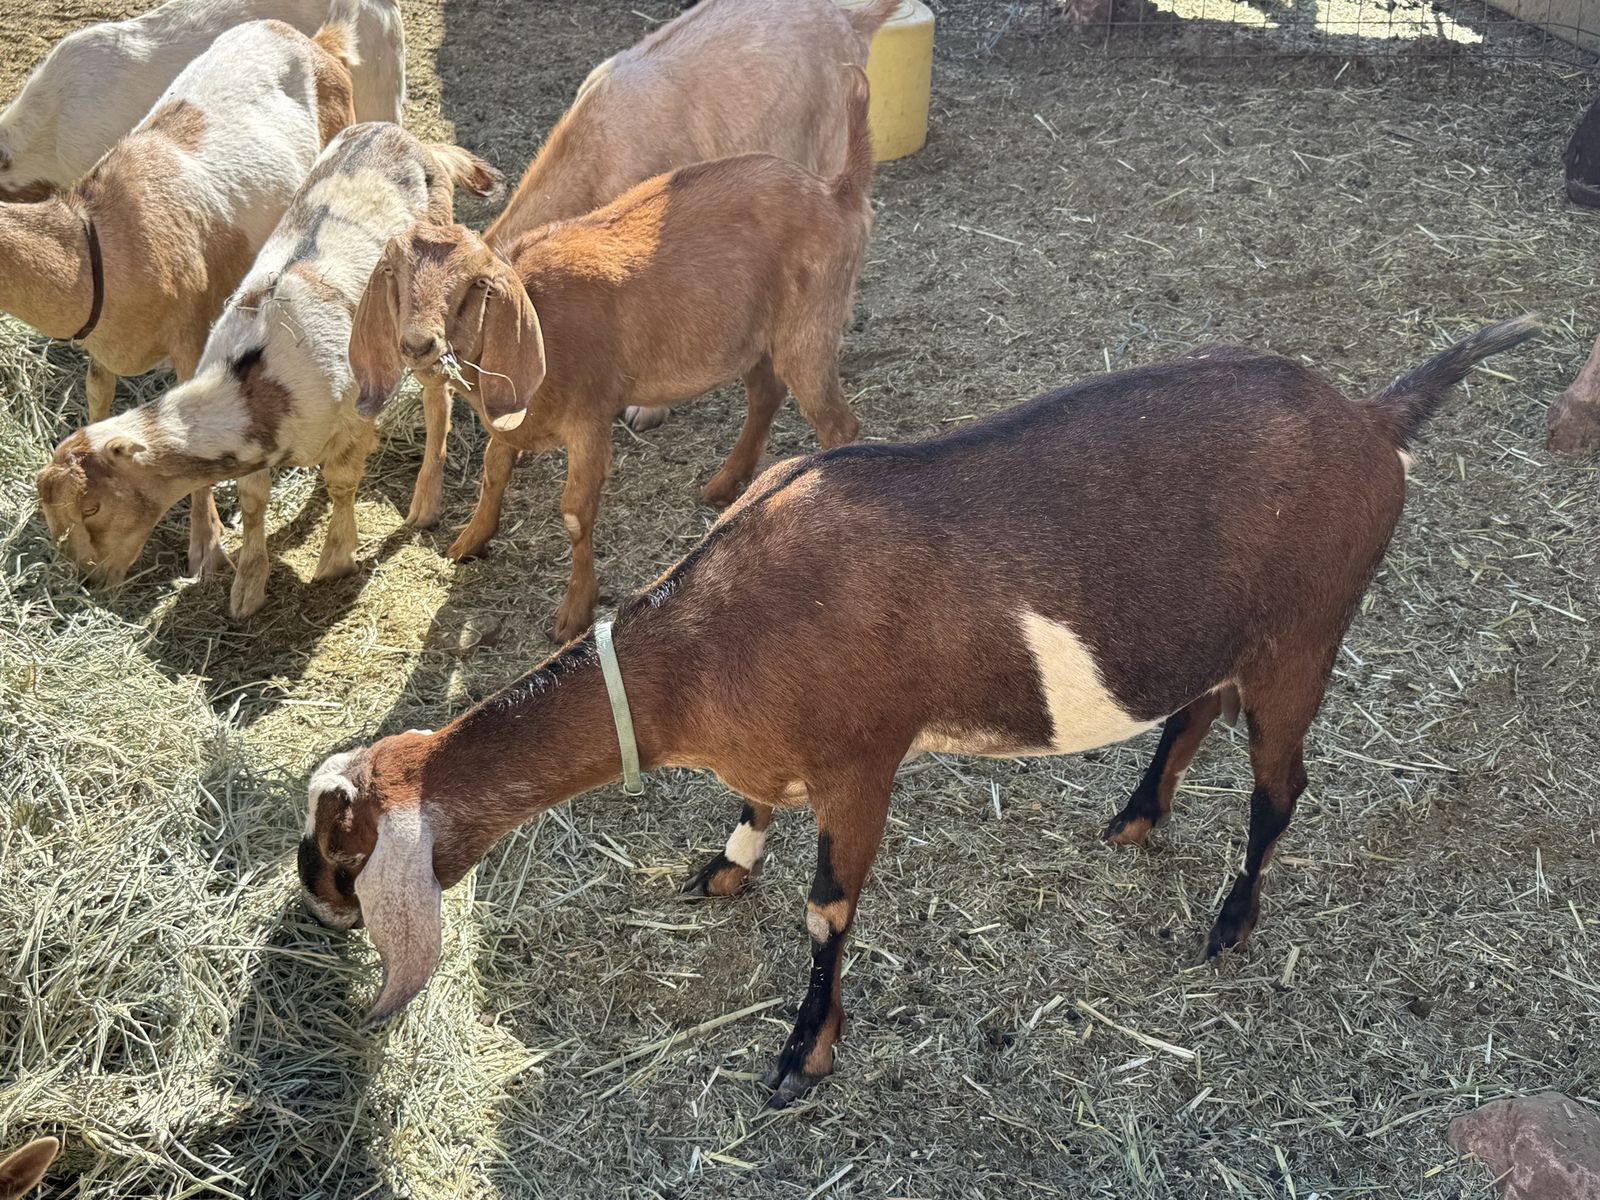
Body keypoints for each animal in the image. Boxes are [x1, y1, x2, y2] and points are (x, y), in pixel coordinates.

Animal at [9, 18, 357, 578]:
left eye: (92, 509)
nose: (87, 578)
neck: (94, 243)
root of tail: (311, 39)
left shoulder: (193, 337)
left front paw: (207, 546)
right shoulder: (101, 350)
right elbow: (98, 397)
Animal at [36, 123, 502, 618]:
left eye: (91, 508)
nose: (89, 578)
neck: (257, 377)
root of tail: (405, 137)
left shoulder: (352, 420)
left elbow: (341, 483)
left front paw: (336, 560)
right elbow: (254, 502)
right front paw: (248, 588)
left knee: (438, 398)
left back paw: (424, 504)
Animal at [302, 316, 1540, 1105]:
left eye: (348, 853)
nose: (314, 899)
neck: (707, 646)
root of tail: (1372, 418)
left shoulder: (863, 761)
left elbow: (828, 913)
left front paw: (803, 1057)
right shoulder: (775, 751)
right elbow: (752, 810)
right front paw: (724, 870)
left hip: (1306, 636)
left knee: (1282, 786)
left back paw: (1231, 924)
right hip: (1219, 636)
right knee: (1192, 714)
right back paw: (1136, 816)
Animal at [350, 67, 875, 642]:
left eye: (473, 287)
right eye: (393, 274)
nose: (418, 343)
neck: (540, 317)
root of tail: (836, 192)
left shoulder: (589, 417)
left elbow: (575, 512)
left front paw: (574, 614)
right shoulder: (511, 420)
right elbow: (493, 471)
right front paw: (469, 541)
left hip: (810, 328)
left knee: (837, 424)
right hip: (755, 338)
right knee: (766, 395)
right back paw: (722, 485)